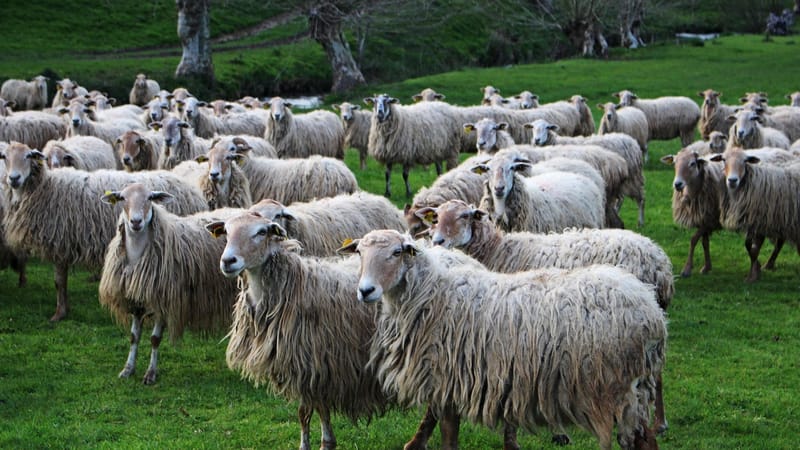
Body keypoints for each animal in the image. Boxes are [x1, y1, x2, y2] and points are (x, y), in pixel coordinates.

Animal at [0, 141, 208, 321]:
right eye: (5, 157)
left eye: (28, 156)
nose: (14, 178)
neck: (46, 188)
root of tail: (192, 190)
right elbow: (61, 282)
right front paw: (64, 310)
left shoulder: (60, 242)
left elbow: (59, 282)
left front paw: (58, 314)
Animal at [98, 183, 239, 385]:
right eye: (122, 198)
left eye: (150, 198)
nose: (136, 222)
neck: (137, 255)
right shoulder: (136, 300)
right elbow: (134, 337)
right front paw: (128, 369)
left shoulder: (163, 301)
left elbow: (155, 339)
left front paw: (150, 374)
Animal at [207, 213, 391, 450]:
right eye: (227, 232)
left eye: (261, 232)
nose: (228, 261)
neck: (295, 284)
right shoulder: (313, 367)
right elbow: (314, 410)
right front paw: (323, 442)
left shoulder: (313, 363)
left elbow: (306, 411)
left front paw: (317, 443)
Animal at [340, 229, 666, 450]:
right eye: (359, 254)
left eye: (397, 252)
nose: (365, 291)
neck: (431, 295)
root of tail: (652, 310)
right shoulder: (449, 382)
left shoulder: (448, 378)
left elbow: (448, 435)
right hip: (638, 386)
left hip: (618, 386)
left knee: (639, 440)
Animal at [709, 147, 800, 282]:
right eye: (724, 160)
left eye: (744, 161)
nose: (732, 180)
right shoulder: (754, 222)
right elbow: (749, 246)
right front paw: (756, 270)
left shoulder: (761, 221)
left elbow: (754, 248)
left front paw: (753, 275)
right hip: (785, 218)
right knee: (780, 241)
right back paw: (769, 264)